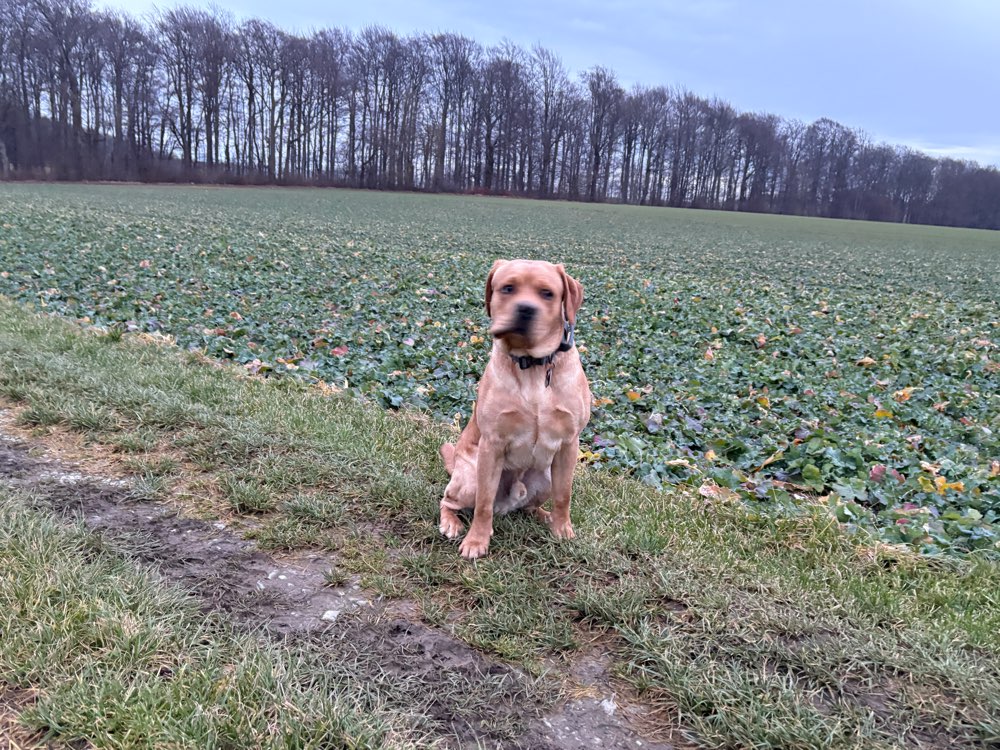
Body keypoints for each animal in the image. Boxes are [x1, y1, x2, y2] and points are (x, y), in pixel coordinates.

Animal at [440, 258, 592, 560]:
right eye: (508, 288)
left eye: (547, 293)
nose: (525, 309)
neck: (532, 364)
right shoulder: (492, 444)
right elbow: (484, 503)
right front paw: (477, 541)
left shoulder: (569, 443)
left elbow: (564, 495)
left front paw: (562, 529)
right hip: (470, 476)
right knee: (449, 501)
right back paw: (451, 523)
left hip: (545, 477)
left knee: (531, 506)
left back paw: (545, 517)